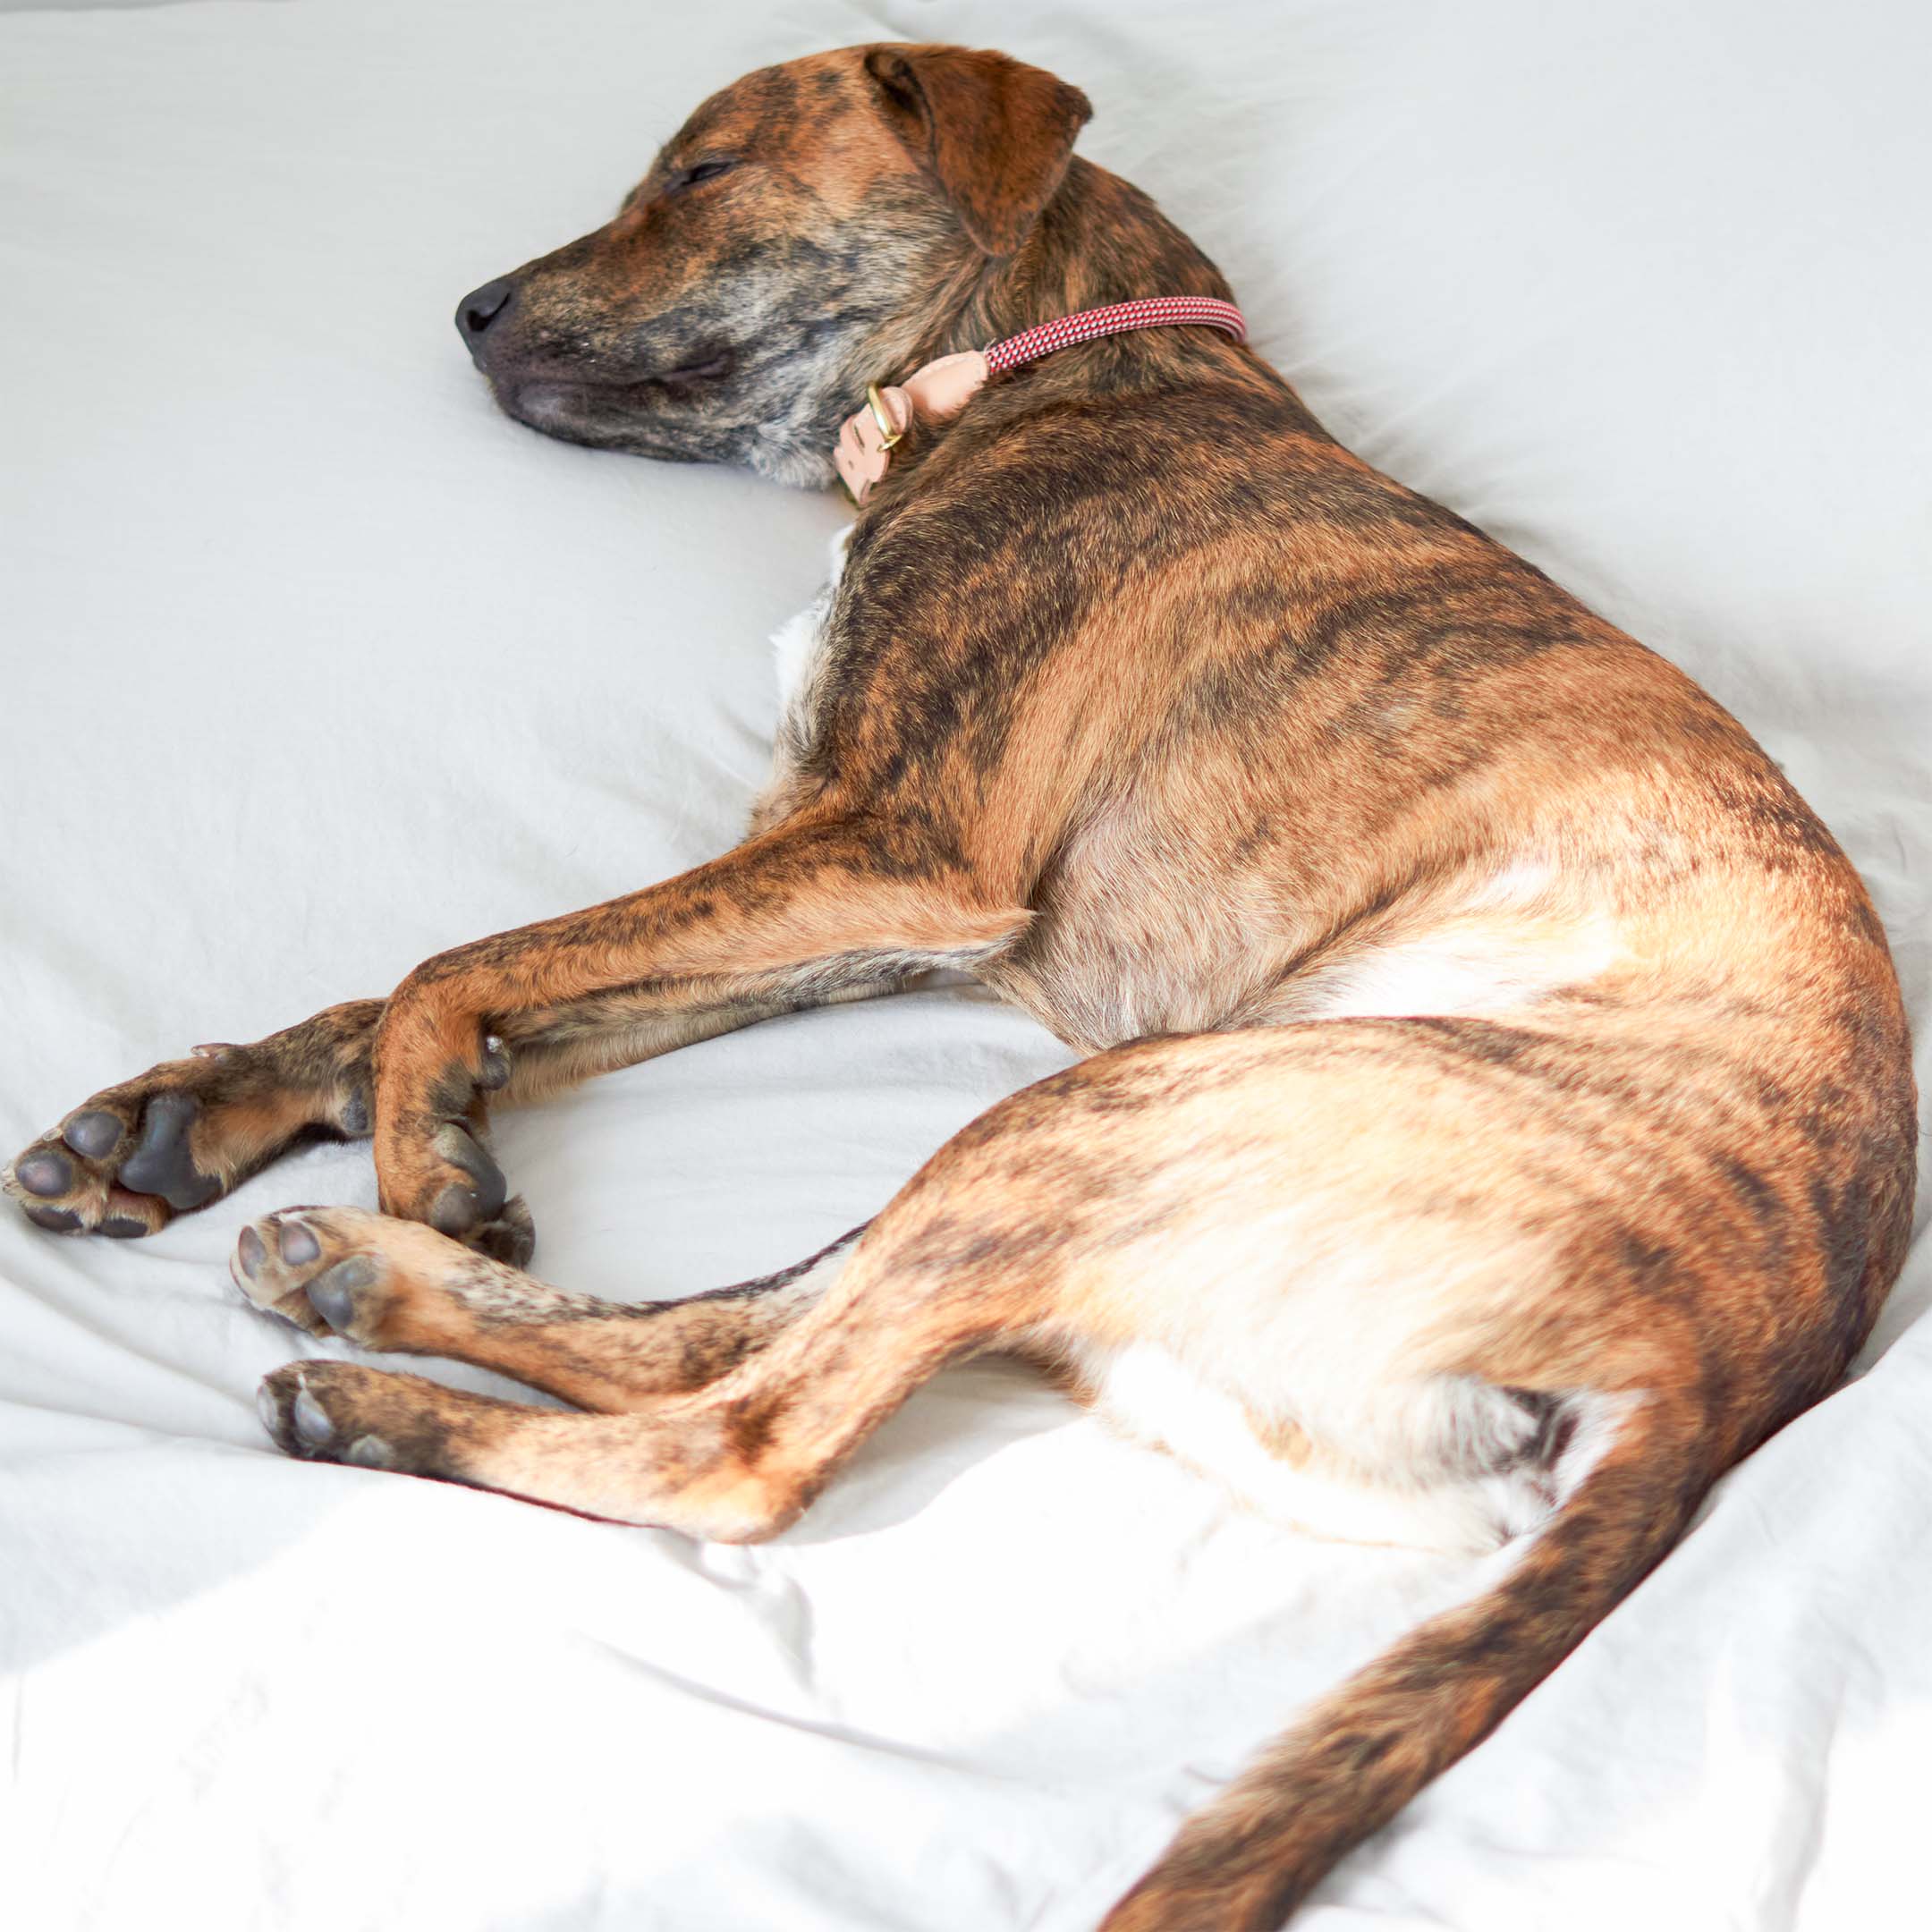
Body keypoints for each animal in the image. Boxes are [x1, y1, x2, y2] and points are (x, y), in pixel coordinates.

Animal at [4, 34, 1916, 1932]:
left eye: (701, 172)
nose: (470, 313)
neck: (1037, 363)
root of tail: (1718, 1386)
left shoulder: (899, 845)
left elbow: (445, 969)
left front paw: (417, 1144)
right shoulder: (865, 891)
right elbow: (458, 991)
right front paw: (183, 1119)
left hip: (1124, 1106)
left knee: (741, 1440)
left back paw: (376, 1395)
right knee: (730, 1327)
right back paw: (356, 1279)